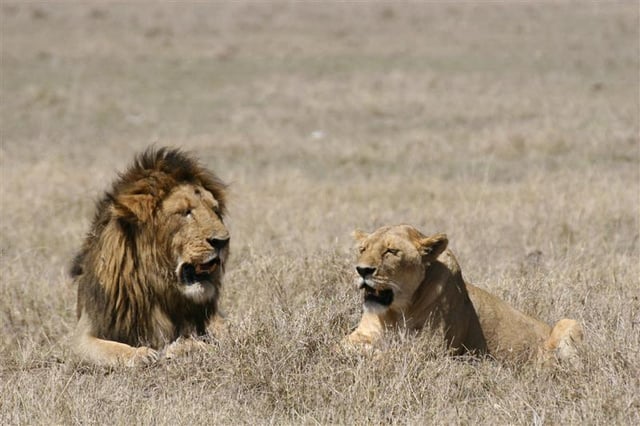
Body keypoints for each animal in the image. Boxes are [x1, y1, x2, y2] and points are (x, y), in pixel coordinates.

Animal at [70, 147, 230, 366]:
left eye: (214, 209)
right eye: (185, 212)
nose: (223, 241)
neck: (158, 288)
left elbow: (226, 330)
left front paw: (185, 346)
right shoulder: (83, 335)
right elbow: (111, 348)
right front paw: (141, 354)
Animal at [346, 224, 583, 365]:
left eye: (391, 251)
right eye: (362, 249)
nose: (362, 270)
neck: (397, 310)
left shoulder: (432, 349)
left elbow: (394, 355)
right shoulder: (360, 334)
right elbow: (345, 346)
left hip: (568, 322)